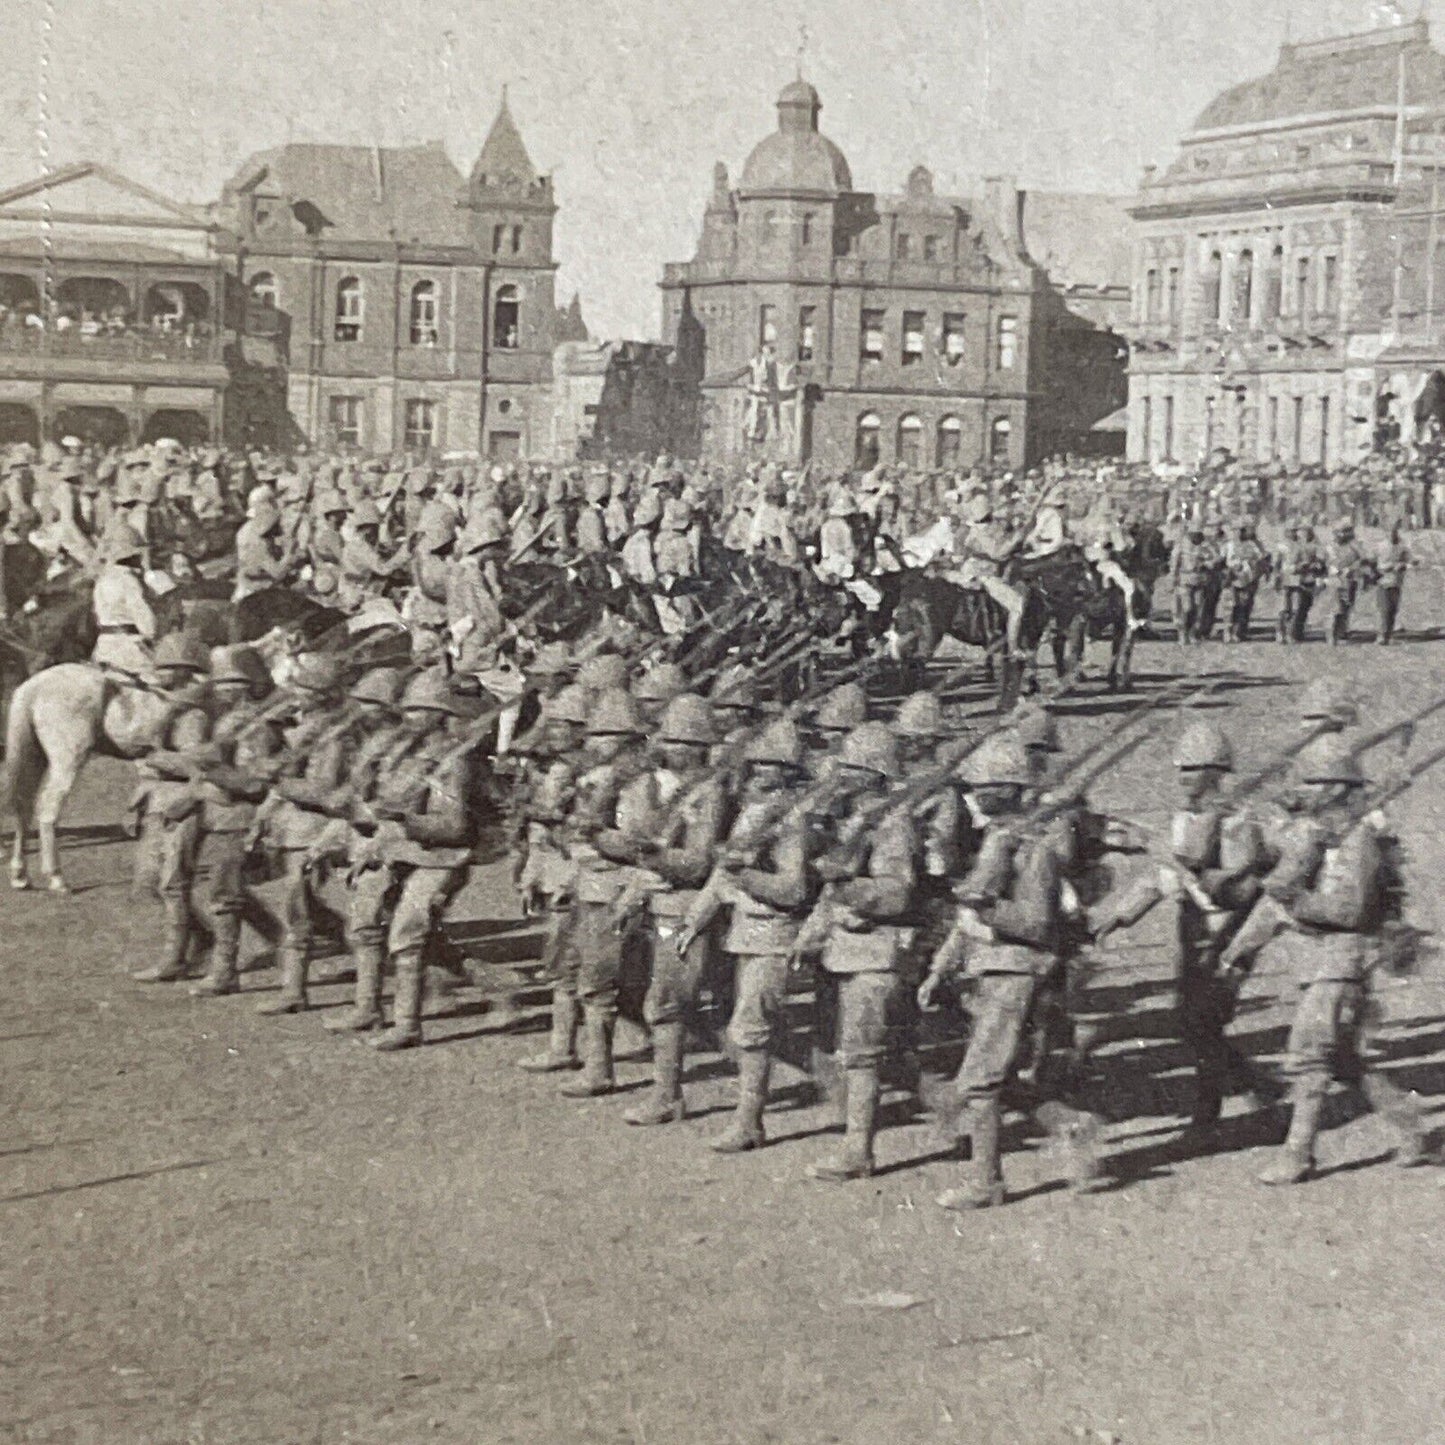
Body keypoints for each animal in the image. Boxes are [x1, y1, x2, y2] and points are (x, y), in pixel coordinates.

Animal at [3, 661, 167, 890]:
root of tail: (32, 688)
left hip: (34, 759)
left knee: (23, 808)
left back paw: (20, 875)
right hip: (68, 762)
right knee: (48, 810)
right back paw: (56, 877)